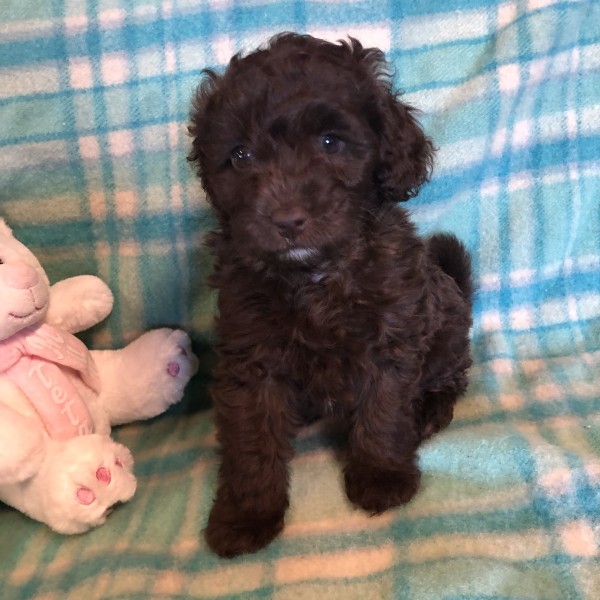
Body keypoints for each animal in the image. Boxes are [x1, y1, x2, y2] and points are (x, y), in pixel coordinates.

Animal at [189, 32, 474, 556]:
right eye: (240, 156)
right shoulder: (251, 351)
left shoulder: (390, 338)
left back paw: (428, 409)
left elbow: (384, 411)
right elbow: (251, 437)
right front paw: (246, 515)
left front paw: (381, 476)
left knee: (451, 373)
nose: (286, 219)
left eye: (330, 143)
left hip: (446, 330)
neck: (314, 275)